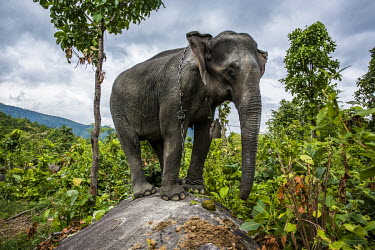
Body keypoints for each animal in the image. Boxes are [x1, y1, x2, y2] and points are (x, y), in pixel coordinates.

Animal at [110, 30, 268, 201]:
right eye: (230, 71)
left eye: (261, 74)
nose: (239, 196)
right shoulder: (174, 91)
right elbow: (174, 132)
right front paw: (175, 197)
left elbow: (204, 134)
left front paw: (196, 189)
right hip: (117, 109)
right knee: (131, 144)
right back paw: (146, 192)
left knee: (158, 143)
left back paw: (175, 181)